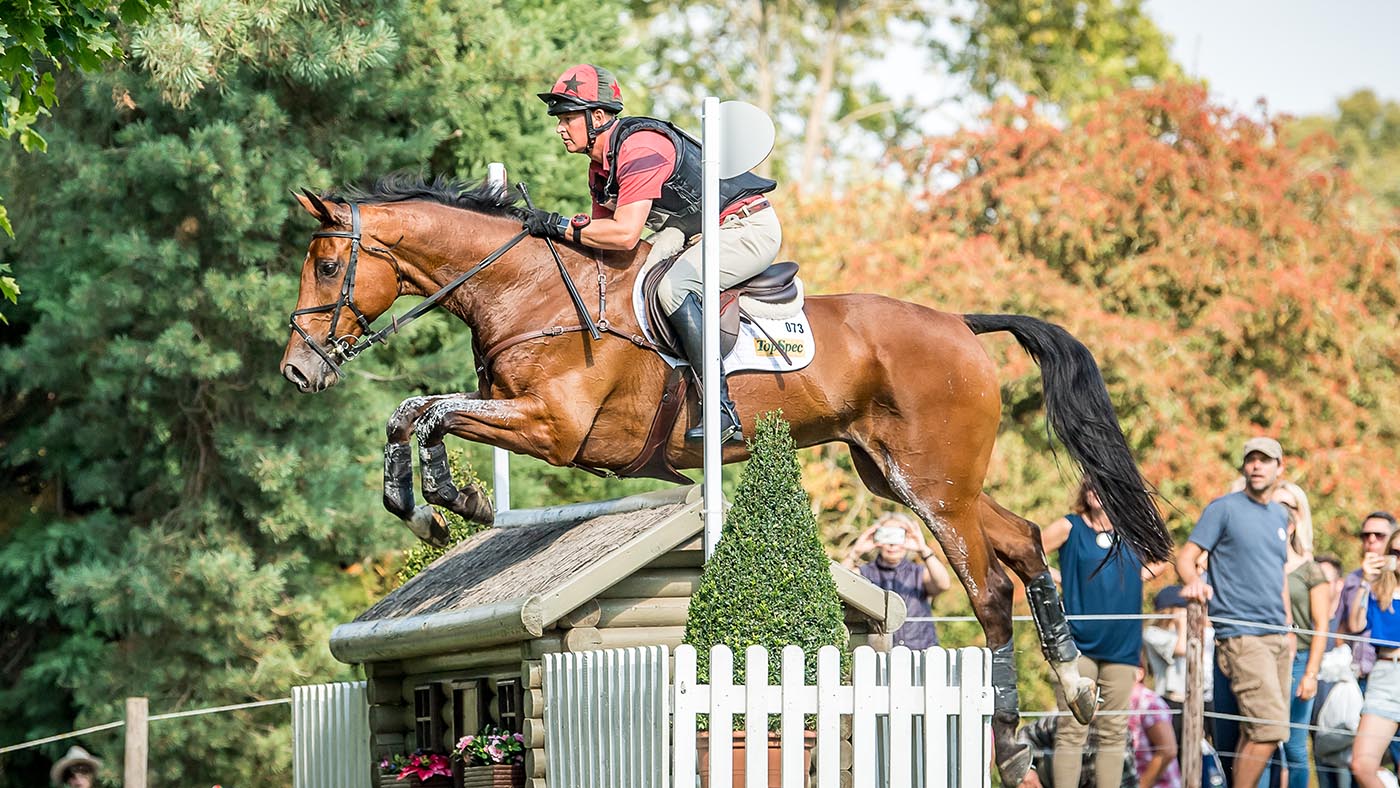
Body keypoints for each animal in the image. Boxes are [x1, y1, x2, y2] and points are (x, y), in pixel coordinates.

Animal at [279, 174, 1173, 786]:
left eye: (324, 265)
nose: (297, 371)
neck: (529, 291)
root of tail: (958, 321)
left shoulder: (555, 429)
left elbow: (431, 412)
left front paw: (444, 498)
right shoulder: (526, 419)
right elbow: (414, 409)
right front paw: (429, 505)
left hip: (935, 484)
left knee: (988, 592)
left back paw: (1013, 745)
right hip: (900, 475)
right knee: (1023, 542)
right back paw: (1077, 686)